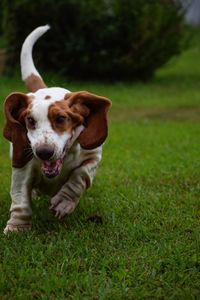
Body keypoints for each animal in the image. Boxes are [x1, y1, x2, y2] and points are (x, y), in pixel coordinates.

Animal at [3, 24, 111, 233]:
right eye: (30, 120)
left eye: (61, 119)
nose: (44, 152)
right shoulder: (21, 166)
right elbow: (20, 198)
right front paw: (16, 227)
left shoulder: (93, 157)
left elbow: (80, 177)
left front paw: (63, 202)